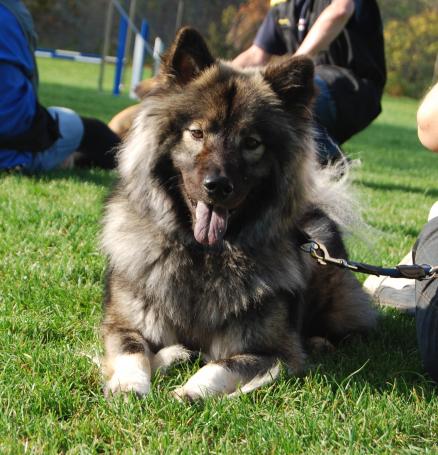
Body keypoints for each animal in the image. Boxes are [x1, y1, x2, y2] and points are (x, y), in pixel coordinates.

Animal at [100, 27, 376, 402]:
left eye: (251, 143)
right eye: (197, 132)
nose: (217, 185)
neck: (203, 255)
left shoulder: (275, 350)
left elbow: (222, 365)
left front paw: (189, 391)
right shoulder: (122, 324)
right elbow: (133, 351)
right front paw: (132, 384)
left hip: (340, 307)